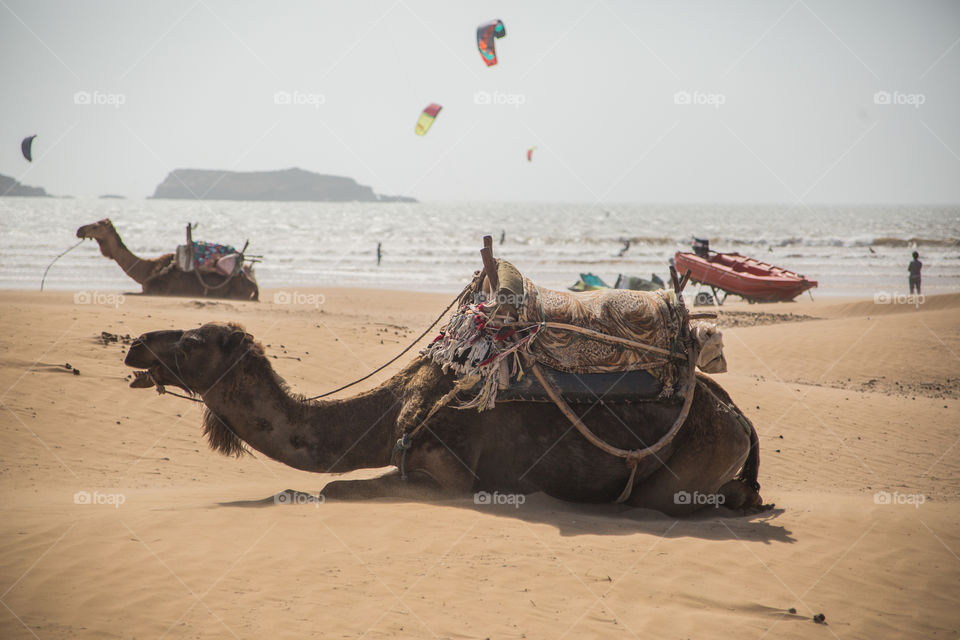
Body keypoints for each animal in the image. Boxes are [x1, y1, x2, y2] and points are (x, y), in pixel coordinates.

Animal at [124, 320, 764, 516]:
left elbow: (332, 487)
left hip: (688, 466)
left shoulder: (444, 474)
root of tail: (739, 416)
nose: (135, 345)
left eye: (191, 341)